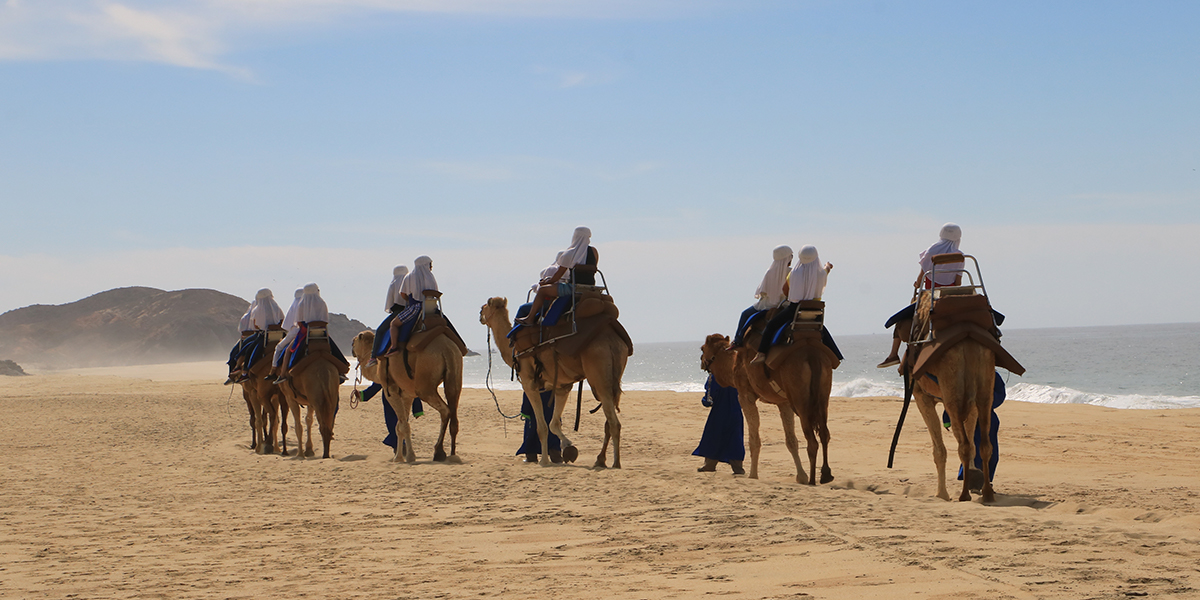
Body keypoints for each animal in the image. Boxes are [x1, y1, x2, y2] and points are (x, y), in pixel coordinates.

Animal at [350, 328, 460, 463]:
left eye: (354, 341)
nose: (352, 348)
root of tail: (446, 349)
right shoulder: (407, 394)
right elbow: (399, 426)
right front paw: (400, 456)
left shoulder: (391, 391)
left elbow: (402, 426)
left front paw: (408, 456)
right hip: (455, 373)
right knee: (453, 413)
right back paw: (452, 454)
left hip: (425, 384)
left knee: (445, 410)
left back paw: (438, 452)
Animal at [477, 295, 633, 468]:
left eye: (484, 307)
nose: (480, 316)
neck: (514, 351)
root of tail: (611, 338)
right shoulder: (561, 386)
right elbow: (554, 423)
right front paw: (568, 448)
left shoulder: (529, 383)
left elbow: (542, 427)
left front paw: (544, 461)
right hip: (616, 371)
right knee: (608, 420)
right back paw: (600, 460)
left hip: (598, 370)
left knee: (613, 421)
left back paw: (616, 463)